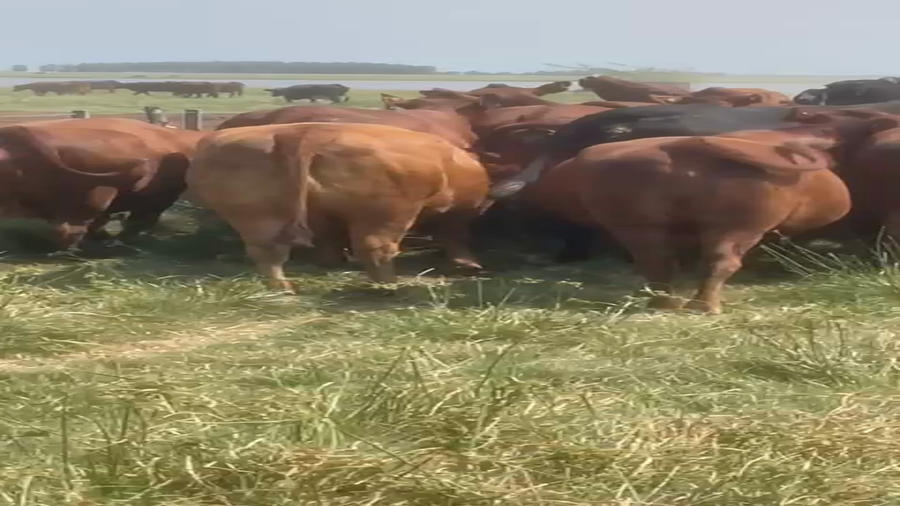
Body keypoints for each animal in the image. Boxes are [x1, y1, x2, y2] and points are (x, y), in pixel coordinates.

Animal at [186, 122, 490, 289]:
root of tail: (307, 133)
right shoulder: (455, 216)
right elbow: (454, 235)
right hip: (387, 213)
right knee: (376, 247)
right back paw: (391, 284)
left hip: (256, 213)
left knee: (268, 250)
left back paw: (284, 287)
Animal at [518, 120, 898, 313]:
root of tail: (684, 146)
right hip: (741, 222)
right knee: (719, 262)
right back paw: (702, 306)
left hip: (642, 224)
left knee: (663, 262)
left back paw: (673, 303)